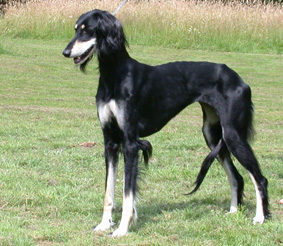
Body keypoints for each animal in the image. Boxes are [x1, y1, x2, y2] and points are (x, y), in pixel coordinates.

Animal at [62, 9, 270, 236]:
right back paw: (233, 211)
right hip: (213, 135)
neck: (113, 74)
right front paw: (104, 224)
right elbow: (109, 190)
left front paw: (122, 229)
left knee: (259, 178)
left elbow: (127, 192)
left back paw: (260, 217)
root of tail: (239, 79)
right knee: (237, 177)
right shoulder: (110, 141)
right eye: (75, 29)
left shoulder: (130, 143)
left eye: (87, 30)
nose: (65, 52)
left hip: (232, 134)